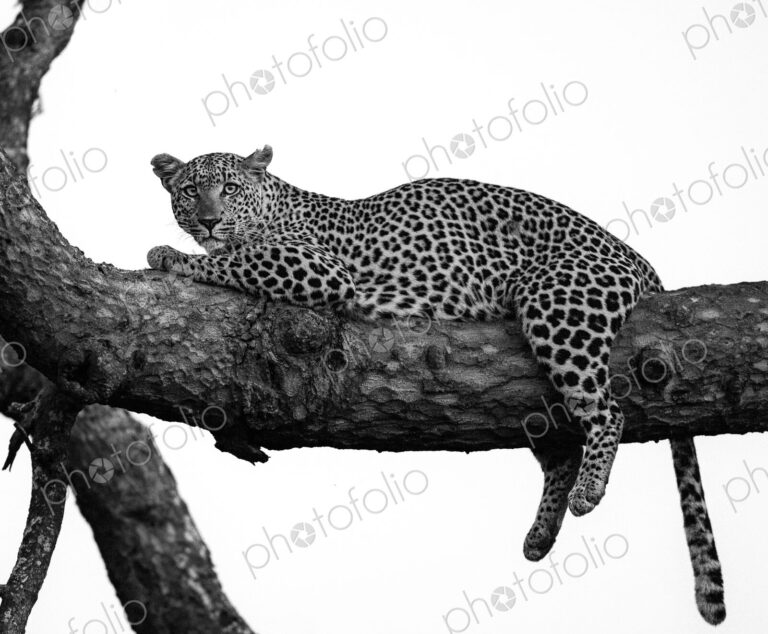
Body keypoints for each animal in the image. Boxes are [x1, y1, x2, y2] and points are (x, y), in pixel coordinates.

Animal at [147, 146, 725, 625]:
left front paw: (172, 256)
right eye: (189, 190)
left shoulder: (319, 266)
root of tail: (638, 259)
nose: (208, 220)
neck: (272, 205)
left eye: (229, 188)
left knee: (606, 411)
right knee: (562, 448)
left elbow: (237, 259)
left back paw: (589, 492)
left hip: (557, 306)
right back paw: (539, 537)